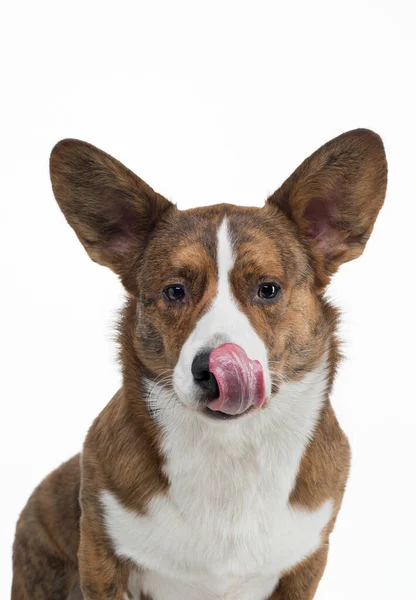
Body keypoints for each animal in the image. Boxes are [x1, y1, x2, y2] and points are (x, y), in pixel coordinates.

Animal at [11, 129, 388, 596]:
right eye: (175, 291)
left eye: (268, 288)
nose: (212, 371)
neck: (229, 450)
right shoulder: (99, 557)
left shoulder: (306, 563)